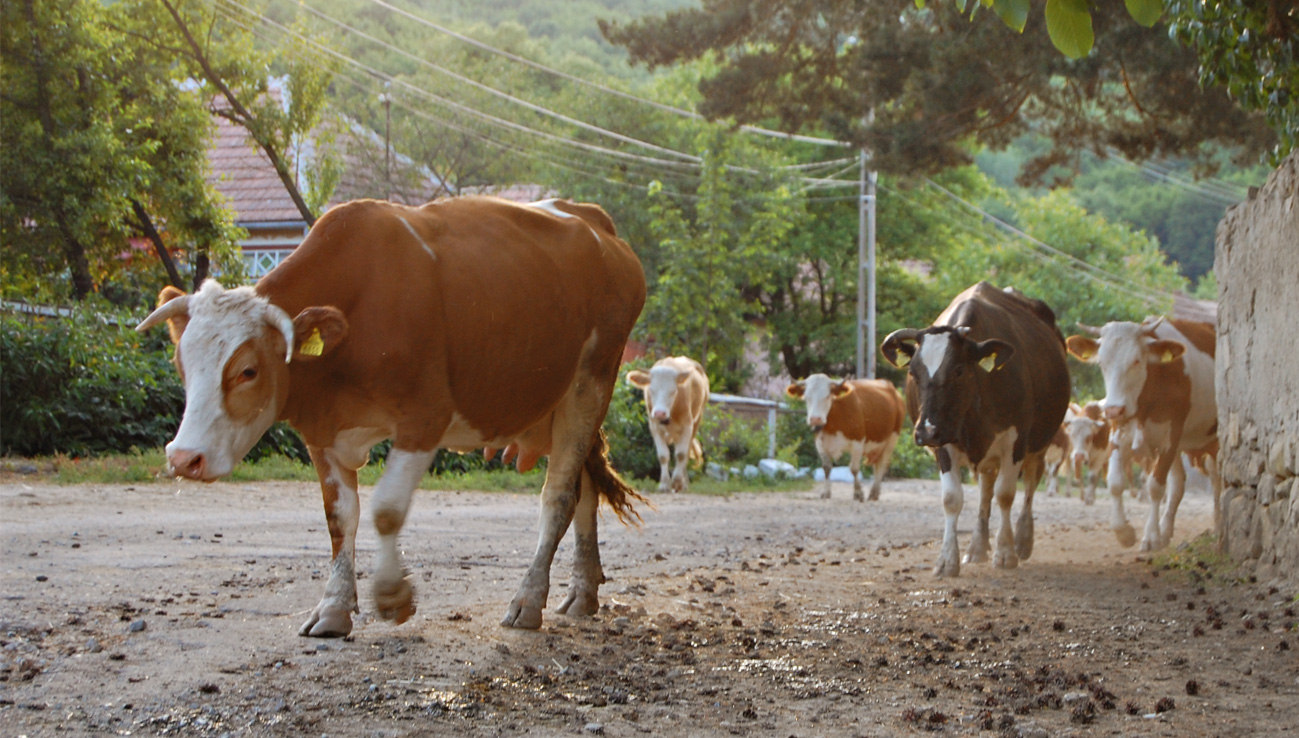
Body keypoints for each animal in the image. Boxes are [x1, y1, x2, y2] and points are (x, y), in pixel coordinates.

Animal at [138, 196, 649, 634]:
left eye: (248, 370)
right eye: (181, 363)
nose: (184, 458)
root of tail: (592, 219)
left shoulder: (425, 418)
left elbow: (385, 510)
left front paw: (392, 596)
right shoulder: (322, 433)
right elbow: (340, 518)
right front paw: (333, 608)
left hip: (590, 384)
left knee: (558, 496)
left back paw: (528, 599)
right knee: (584, 490)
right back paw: (582, 591)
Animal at [626, 356, 711, 493]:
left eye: (673, 391)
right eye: (651, 390)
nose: (660, 413)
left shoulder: (687, 425)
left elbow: (681, 454)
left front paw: (677, 482)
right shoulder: (654, 426)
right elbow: (663, 455)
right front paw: (665, 484)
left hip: (696, 421)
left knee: (686, 453)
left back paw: (683, 483)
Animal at [878, 281, 1070, 576]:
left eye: (958, 370)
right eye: (913, 372)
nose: (925, 431)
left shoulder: (1015, 441)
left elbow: (1006, 494)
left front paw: (1006, 552)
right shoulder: (944, 441)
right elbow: (952, 499)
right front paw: (947, 560)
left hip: (1040, 442)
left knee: (1030, 483)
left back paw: (1023, 540)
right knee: (986, 489)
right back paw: (978, 547)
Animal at [1065, 314, 1215, 550]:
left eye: (1136, 361)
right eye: (1102, 363)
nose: (1113, 409)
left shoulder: (1170, 439)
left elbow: (1155, 486)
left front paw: (1151, 536)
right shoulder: (1119, 435)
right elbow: (1115, 482)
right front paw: (1124, 533)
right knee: (1178, 485)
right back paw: (1166, 530)